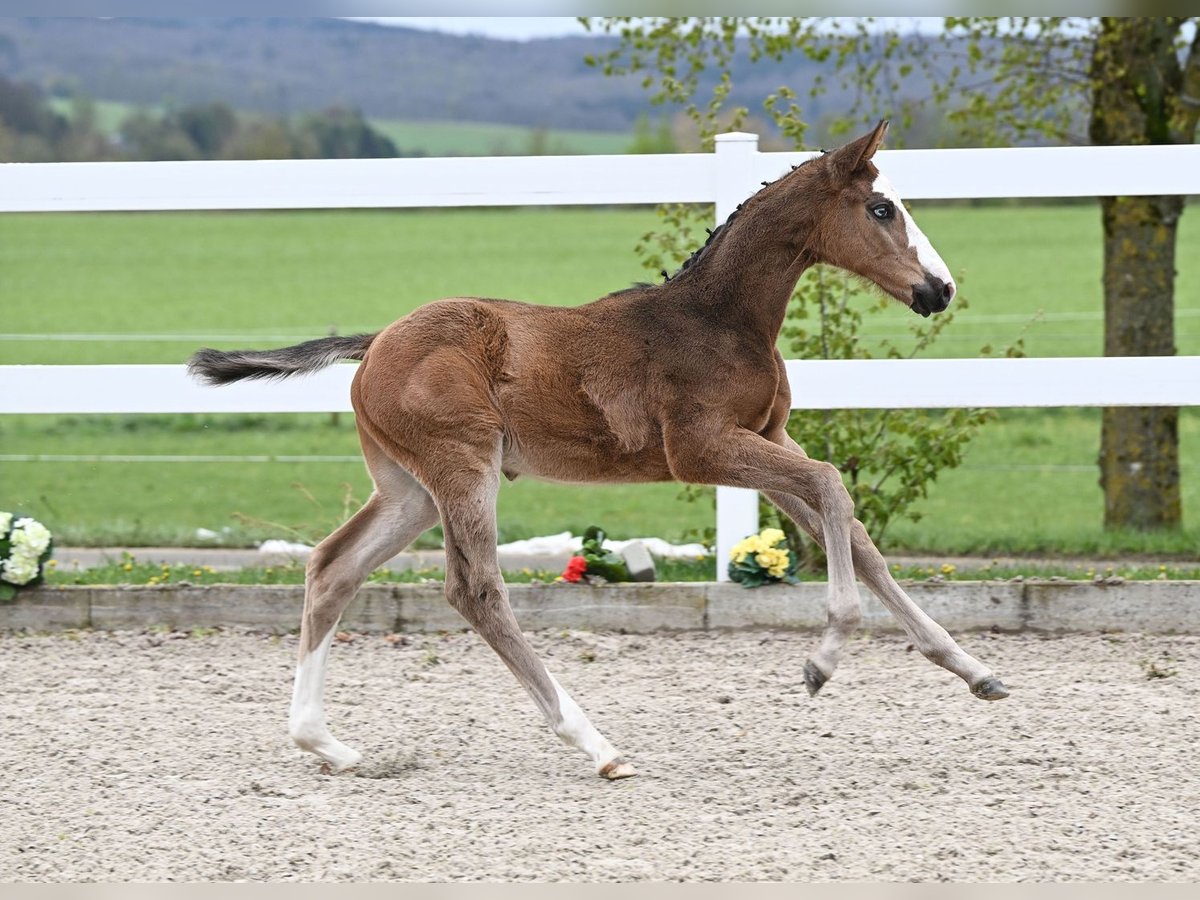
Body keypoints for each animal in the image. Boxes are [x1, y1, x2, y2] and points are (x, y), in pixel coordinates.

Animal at [187, 120, 1008, 782]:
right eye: (881, 208)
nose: (939, 289)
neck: (718, 319)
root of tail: (376, 342)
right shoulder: (703, 450)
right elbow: (835, 485)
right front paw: (822, 658)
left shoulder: (766, 438)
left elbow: (857, 535)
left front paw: (975, 671)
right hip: (463, 468)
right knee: (474, 590)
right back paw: (597, 744)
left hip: (409, 489)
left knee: (333, 568)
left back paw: (325, 744)